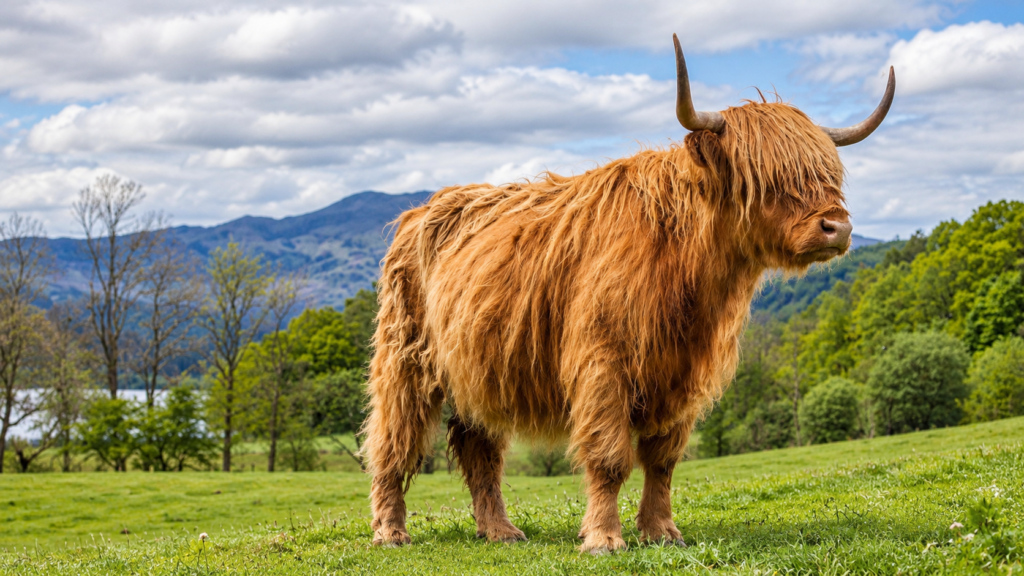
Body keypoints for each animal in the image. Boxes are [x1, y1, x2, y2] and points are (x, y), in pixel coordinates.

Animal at [362, 34, 895, 554]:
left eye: (829, 171)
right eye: (766, 175)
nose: (837, 227)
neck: (690, 276)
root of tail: (421, 210)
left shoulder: (682, 375)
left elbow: (662, 461)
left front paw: (661, 532)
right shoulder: (604, 363)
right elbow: (610, 457)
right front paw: (603, 538)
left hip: (477, 368)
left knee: (480, 450)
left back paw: (500, 530)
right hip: (405, 360)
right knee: (392, 442)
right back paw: (391, 532)